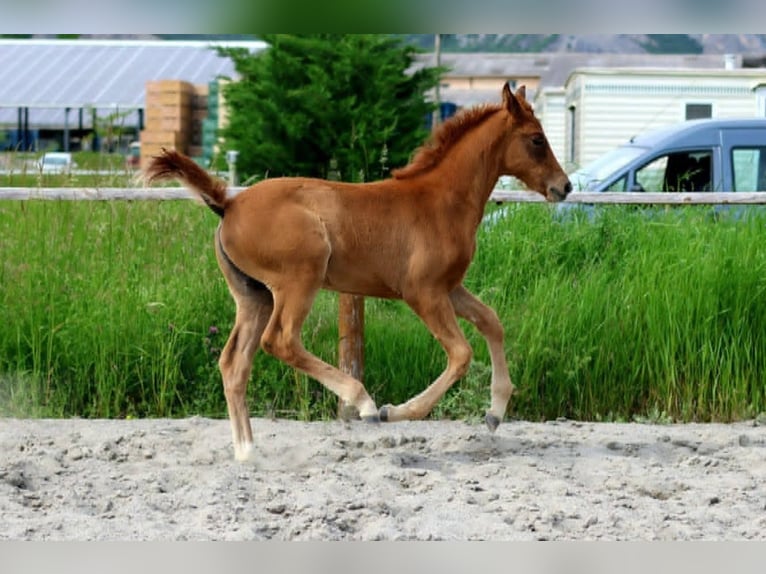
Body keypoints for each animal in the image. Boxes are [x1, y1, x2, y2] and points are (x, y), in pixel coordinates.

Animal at [144, 82, 571, 461]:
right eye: (537, 139)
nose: (564, 187)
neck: (441, 202)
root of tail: (228, 203)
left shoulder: (449, 287)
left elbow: (492, 322)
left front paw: (495, 414)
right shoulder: (423, 292)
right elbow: (462, 354)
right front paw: (393, 412)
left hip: (254, 295)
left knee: (234, 363)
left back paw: (248, 452)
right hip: (300, 279)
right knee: (280, 341)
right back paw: (362, 402)